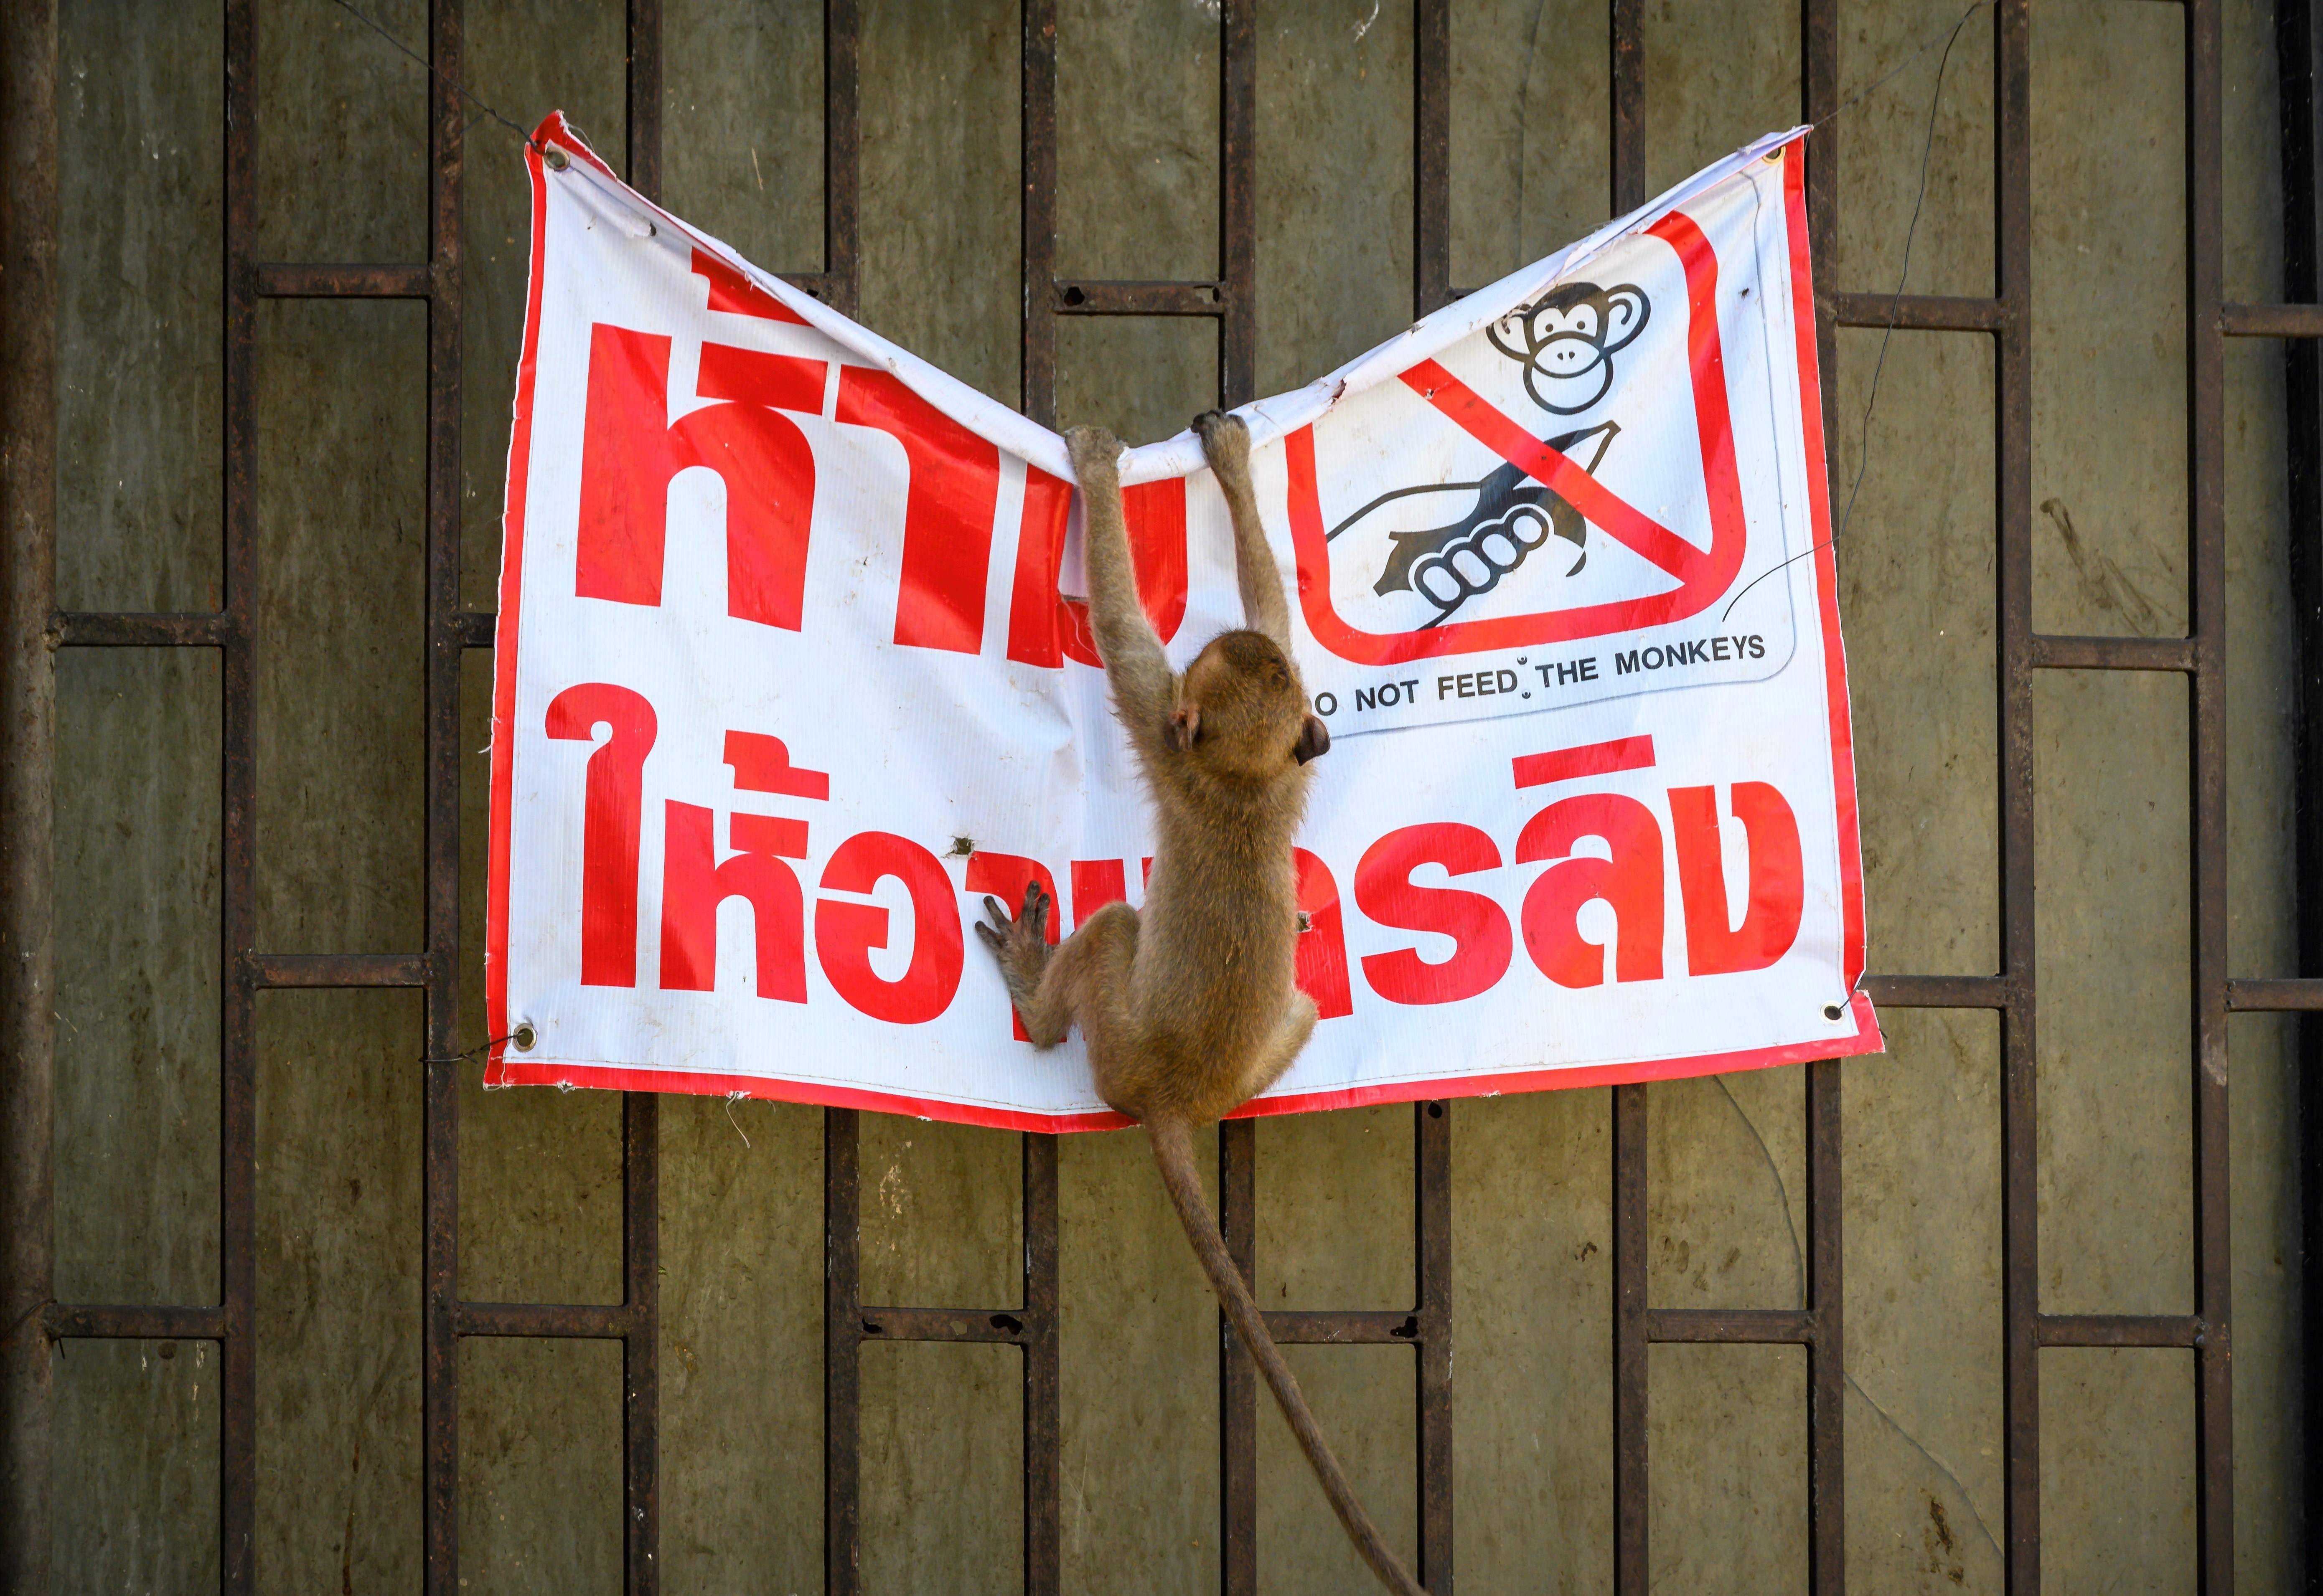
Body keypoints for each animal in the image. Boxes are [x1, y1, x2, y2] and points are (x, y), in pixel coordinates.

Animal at [971, 416, 1421, 1596]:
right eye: (1295, 712)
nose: (1312, 736)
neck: (1247, 777)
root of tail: (1172, 1090)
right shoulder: (1287, 745)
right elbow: (1278, 612)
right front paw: (1231, 473)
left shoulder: (1161, 725)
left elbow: (1125, 634)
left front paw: (1095, 476)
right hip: (1264, 1041)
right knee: (1297, 1006)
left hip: (1116, 1036)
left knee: (1112, 934)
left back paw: (1037, 989)